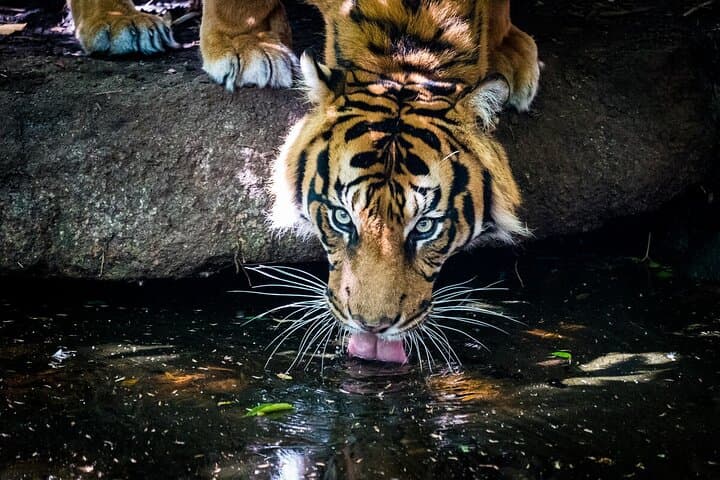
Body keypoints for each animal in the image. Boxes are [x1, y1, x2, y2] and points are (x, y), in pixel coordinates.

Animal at [67, 0, 540, 365]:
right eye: (342, 219)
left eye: (425, 226)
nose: (372, 327)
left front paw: (505, 51)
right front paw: (244, 45)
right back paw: (116, 24)